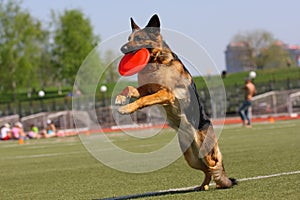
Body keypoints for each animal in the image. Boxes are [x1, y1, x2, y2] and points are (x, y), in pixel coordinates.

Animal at [116, 14, 236, 191]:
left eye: (139, 39)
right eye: (128, 39)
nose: (122, 48)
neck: (157, 61)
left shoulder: (166, 93)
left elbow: (144, 100)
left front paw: (127, 108)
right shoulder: (148, 89)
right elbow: (130, 88)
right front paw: (121, 98)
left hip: (205, 152)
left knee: (215, 165)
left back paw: (220, 181)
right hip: (191, 159)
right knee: (207, 169)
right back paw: (204, 186)